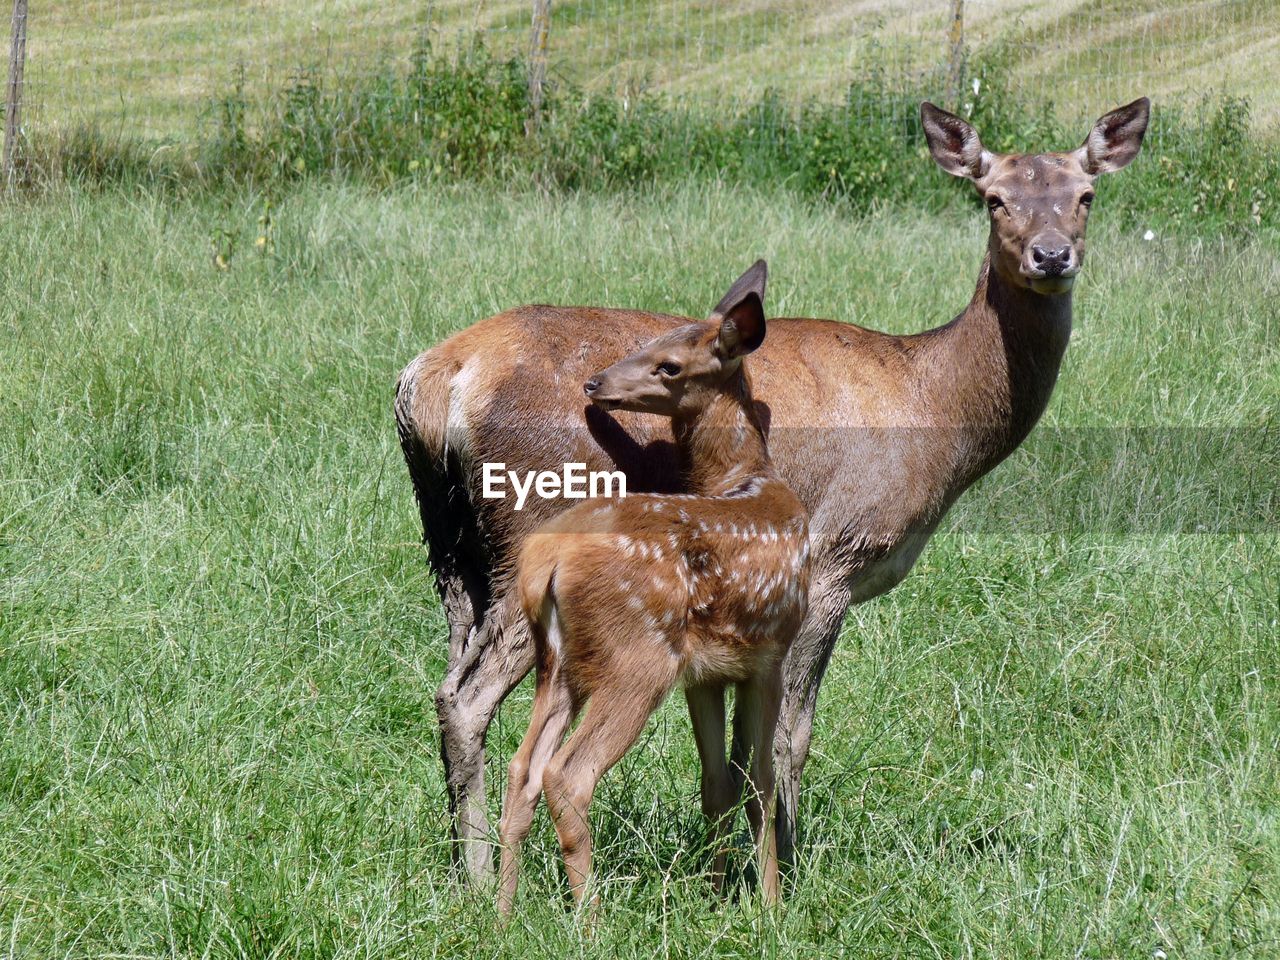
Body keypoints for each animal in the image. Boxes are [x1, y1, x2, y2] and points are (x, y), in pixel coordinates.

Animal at [491, 264, 808, 916]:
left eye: (668, 364)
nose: (595, 382)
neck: (748, 477)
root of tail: (548, 562)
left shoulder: (706, 673)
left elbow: (717, 783)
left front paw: (718, 894)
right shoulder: (771, 651)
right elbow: (762, 782)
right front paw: (769, 907)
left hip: (559, 663)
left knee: (522, 770)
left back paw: (503, 916)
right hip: (637, 657)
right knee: (568, 776)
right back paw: (588, 920)